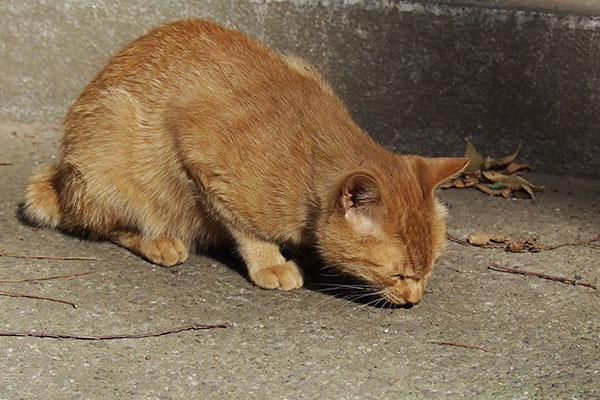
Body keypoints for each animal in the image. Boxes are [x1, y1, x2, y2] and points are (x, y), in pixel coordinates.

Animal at [21, 19, 466, 306]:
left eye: (429, 270)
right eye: (399, 275)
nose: (415, 298)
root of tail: (58, 177)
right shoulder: (199, 150)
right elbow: (248, 229)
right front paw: (272, 262)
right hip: (112, 136)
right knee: (103, 224)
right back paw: (159, 240)